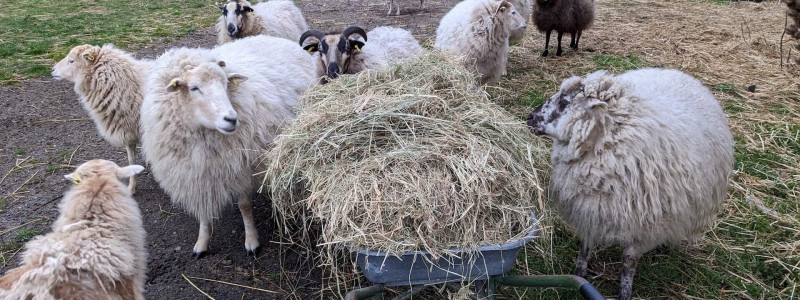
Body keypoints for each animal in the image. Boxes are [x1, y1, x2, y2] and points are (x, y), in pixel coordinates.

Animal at [139, 34, 318, 255]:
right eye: (194, 88)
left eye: (226, 84)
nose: (231, 119)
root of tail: (277, 38)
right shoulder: (196, 175)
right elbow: (203, 211)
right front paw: (202, 242)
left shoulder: (243, 167)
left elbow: (244, 206)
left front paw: (252, 240)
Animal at [528, 68, 736, 300]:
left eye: (564, 102)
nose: (530, 117)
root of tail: (679, 73)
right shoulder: (587, 211)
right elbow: (585, 245)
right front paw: (579, 274)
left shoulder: (643, 229)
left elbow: (628, 263)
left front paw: (624, 293)